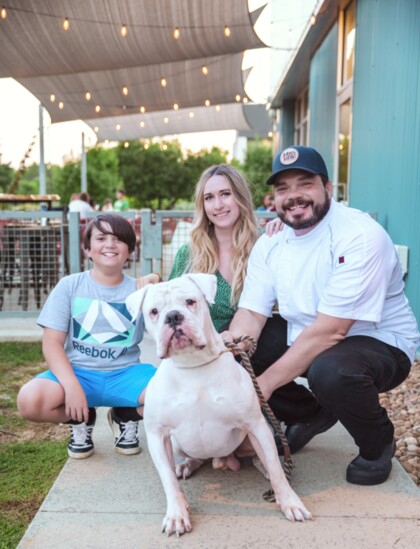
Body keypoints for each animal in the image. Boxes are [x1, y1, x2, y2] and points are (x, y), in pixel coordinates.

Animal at [125, 274, 312, 536]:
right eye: (153, 311)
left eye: (190, 301)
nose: (173, 316)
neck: (193, 365)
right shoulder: (158, 436)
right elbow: (168, 480)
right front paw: (177, 514)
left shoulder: (254, 425)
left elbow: (277, 470)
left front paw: (290, 502)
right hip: (178, 443)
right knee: (195, 458)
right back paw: (187, 465)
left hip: (258, 433)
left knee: (265, 457)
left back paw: (264, 466)